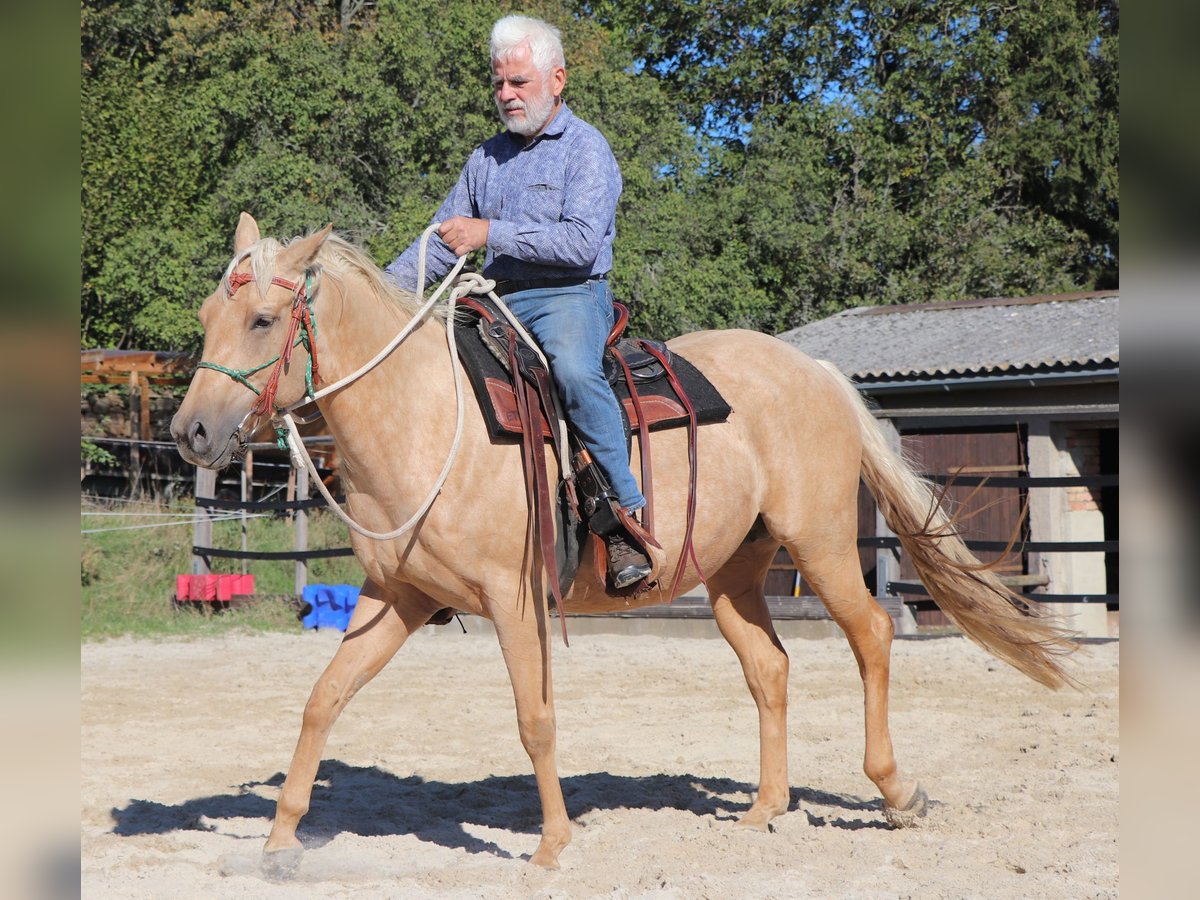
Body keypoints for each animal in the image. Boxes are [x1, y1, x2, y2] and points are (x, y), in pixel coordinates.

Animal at [171, 214, 1080, 868]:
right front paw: (280, 840)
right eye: (210, 314)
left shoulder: (514, 600)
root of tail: (814, 371)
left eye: (263, 320)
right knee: (770, 669)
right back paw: (765, 809)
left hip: (819, 545)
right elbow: (323, 699)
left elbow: (535, 718)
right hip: (734, 571)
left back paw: (895, 792)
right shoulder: (399, 596)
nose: (190, 432)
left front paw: (552, 845)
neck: (428, 418)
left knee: (874, 635)